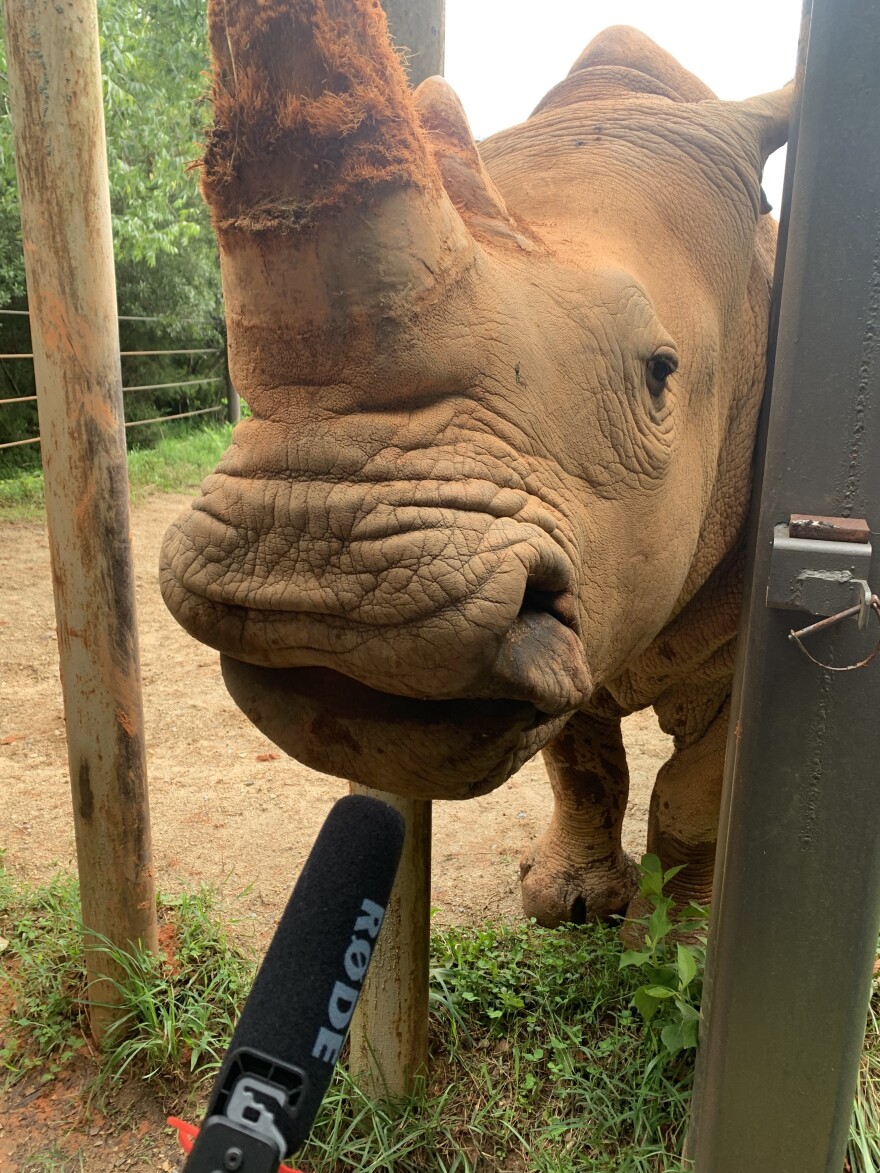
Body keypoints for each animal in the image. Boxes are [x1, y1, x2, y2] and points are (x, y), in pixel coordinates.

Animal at [160, 1, 791, 927]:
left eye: (661, 372)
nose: (310, 593)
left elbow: (698, 794)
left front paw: (676, 936)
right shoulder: (594, 580)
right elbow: (581, 758)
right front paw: (568, 904)